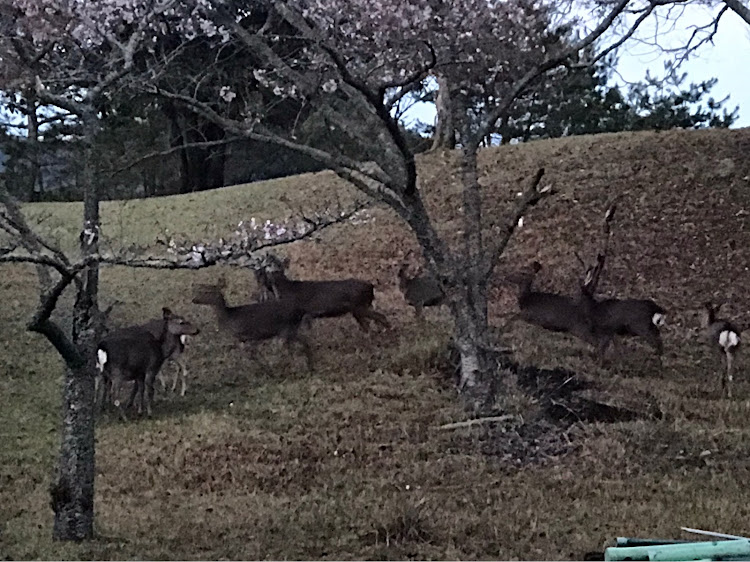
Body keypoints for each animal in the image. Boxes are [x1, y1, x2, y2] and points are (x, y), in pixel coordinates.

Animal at [254, 253, 390, 330]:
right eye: (267, 265)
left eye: (279, 264)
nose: (274, 271)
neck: (286, 291)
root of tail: (371, 286)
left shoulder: (302, 313)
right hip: (358, 309)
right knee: (368, 325)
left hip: (360, 306)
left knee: (381, 317)